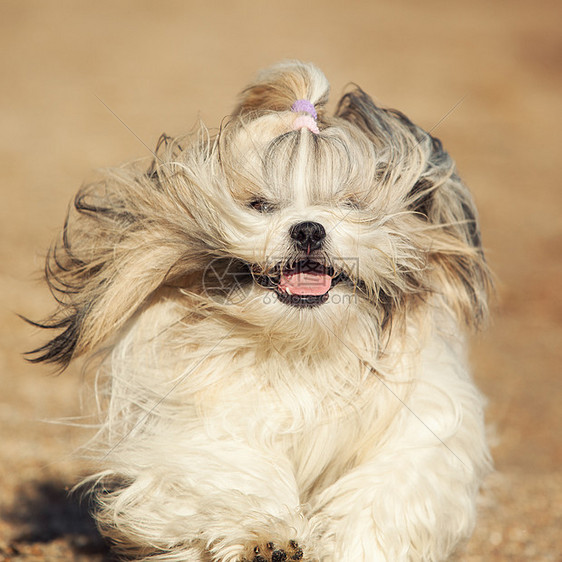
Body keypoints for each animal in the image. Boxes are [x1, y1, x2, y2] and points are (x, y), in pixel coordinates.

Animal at [29, 61, 490, 560]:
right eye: (259, 205)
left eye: (350, 204)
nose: (308, 229)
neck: (301, 350)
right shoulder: (200, 423)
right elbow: (228, 468)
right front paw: (265, 538)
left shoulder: (419, 428)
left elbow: (388, 491)